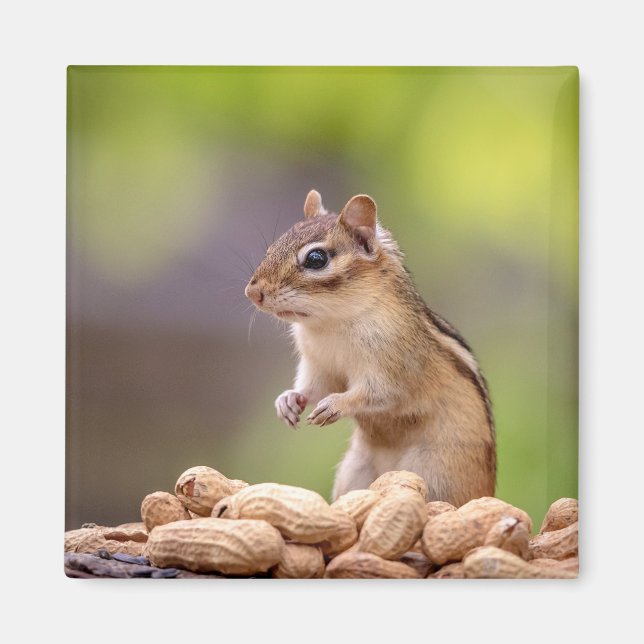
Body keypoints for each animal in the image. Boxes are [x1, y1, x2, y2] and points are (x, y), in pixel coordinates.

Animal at [244, 190, 496, 506]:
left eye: (316, 258)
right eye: (271, 248)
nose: (252, 293)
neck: (331, 323)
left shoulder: (395, 364)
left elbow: (379, 393)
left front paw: (336, 404)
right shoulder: (319, 366)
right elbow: (314, 387)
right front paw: (288, 400)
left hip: (437, 474)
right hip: (354, 472)